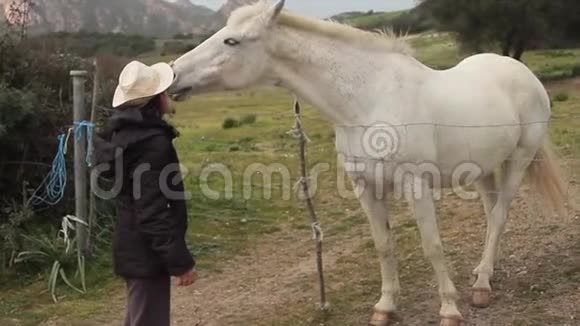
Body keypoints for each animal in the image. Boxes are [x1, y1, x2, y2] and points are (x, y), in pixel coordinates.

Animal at [168, 1, 568, 324]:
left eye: (231, 41)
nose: (172, 74)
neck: (369, 100)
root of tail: (522, 72)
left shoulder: (415, 184)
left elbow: (432, 245)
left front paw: (449, 310)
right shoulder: (365, 187)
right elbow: (383, 245)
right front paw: (385, 307)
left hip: (519, 158)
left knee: (499, 215)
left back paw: (481, 286)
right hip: (482, 167)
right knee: (490, 214)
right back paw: (484, 275)